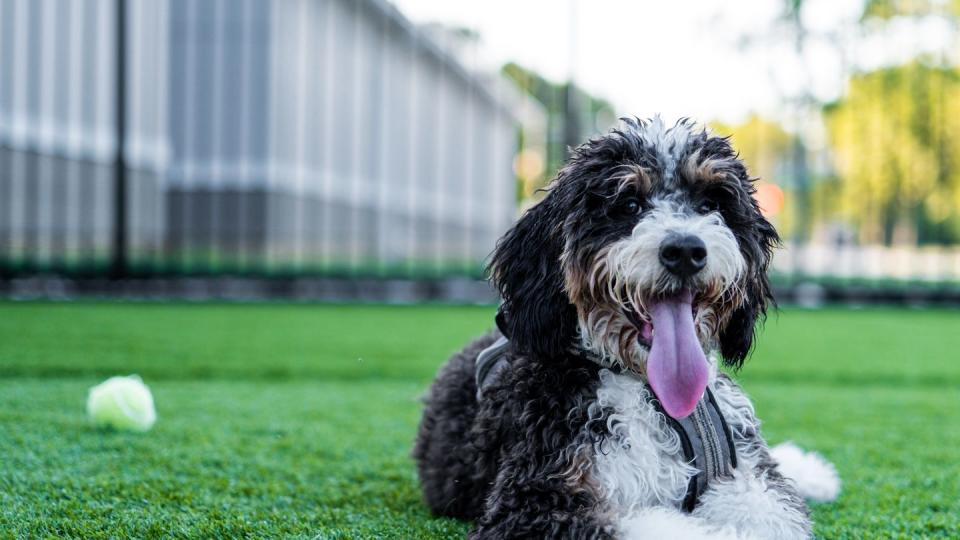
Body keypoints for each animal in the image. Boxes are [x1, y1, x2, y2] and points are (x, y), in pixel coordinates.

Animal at [412, 119, 840, 540]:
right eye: (629, 204)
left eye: (710, 205)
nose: (685, 250)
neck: (653, 394)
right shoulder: (534, 499)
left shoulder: (750, 481)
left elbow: (773, 513)